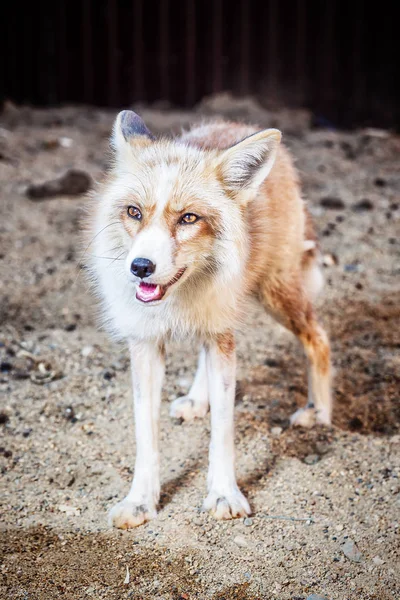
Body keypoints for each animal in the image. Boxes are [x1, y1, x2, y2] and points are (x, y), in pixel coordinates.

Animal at [86, 110, 332, 528]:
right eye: (134, 212)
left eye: (188, 218)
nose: (140, 267)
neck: (176, 300)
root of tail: (237, 123)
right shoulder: (146, 343)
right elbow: (145, 435)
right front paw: (141, 501)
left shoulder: (222, 333)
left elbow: (223, 431)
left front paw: (223, 494)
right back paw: (197, 399)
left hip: (275, 295)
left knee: (319, 338)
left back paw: (320, 412)